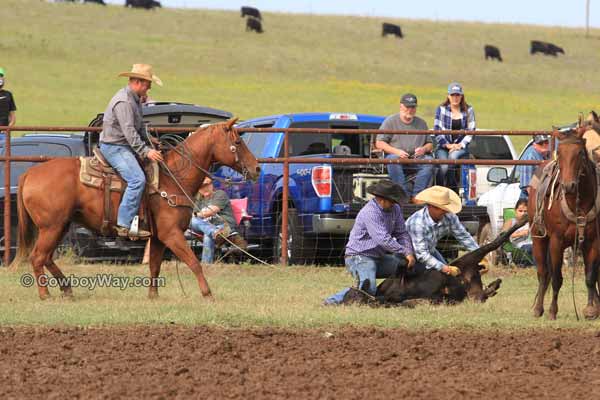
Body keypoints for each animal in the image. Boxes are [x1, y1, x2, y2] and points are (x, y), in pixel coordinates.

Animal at [12, 119, 260, 300]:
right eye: (237, 142)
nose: (257, 168)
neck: (173, 177)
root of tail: (30, 173)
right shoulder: (171, 234)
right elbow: (194, 262)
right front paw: (208, 294)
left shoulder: (159, 237)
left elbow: (155, 266)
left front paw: (153, 296)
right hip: (51, 227)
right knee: (37, 257)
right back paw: (45, 294)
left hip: (59, 226)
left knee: (46, 257)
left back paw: (67, 289)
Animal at [528, 123, 600, 320]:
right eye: (559, 152)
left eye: (580, 152)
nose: (569, 186)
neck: (578, 203)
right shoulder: (556, 241)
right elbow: (557, 278)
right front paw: (553, 311)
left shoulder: (593, 241)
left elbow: (590, 276)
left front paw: (590, 310)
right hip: (538, 237)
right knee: (543, 273)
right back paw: (538, 308)